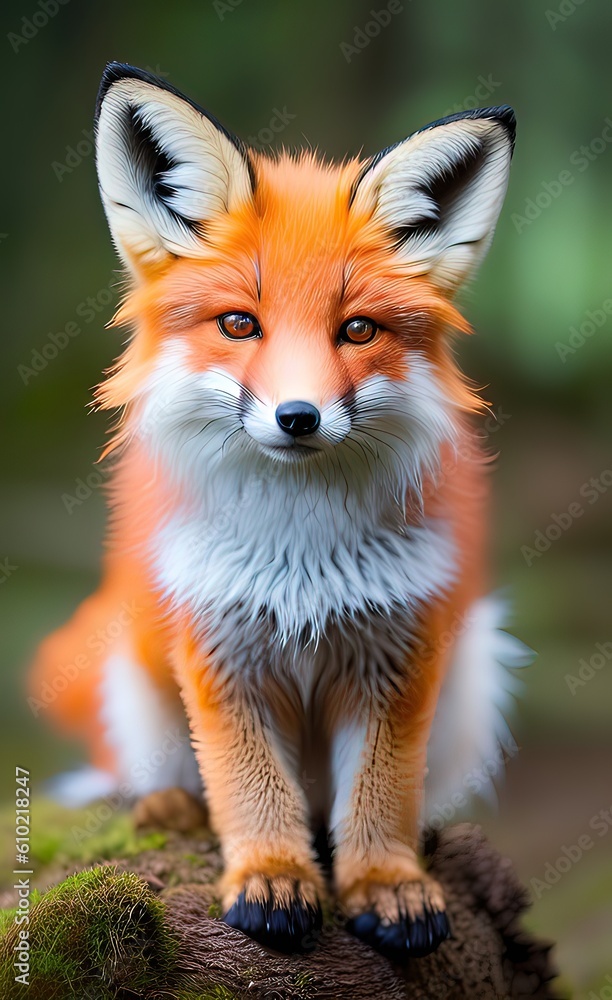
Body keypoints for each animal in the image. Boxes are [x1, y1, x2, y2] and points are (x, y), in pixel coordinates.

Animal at [30, 62, 530, 959]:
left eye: (357, 330)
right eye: (240, 324)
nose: (298, 417)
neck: (300, 557)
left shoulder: (397, 653)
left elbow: (380, 798)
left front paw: (386, 885)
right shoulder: (219, 650)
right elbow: (250, 791)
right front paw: (270, 878)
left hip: (477, 669)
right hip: (135, 676)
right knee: (141, 779)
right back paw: (168, 807)